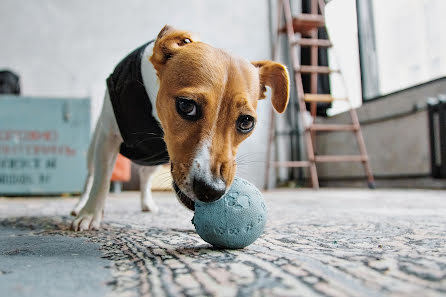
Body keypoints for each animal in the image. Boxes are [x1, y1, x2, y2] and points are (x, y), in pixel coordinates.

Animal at [70, 25, 290, 230]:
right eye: (186, 105)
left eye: (246, 122)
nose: (211, 190)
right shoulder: (109, 138)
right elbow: (101, 181)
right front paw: (90, 214)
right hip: (94, 147)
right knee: (90, 176)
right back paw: (79, 206)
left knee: (144, 175)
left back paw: (146, 204)